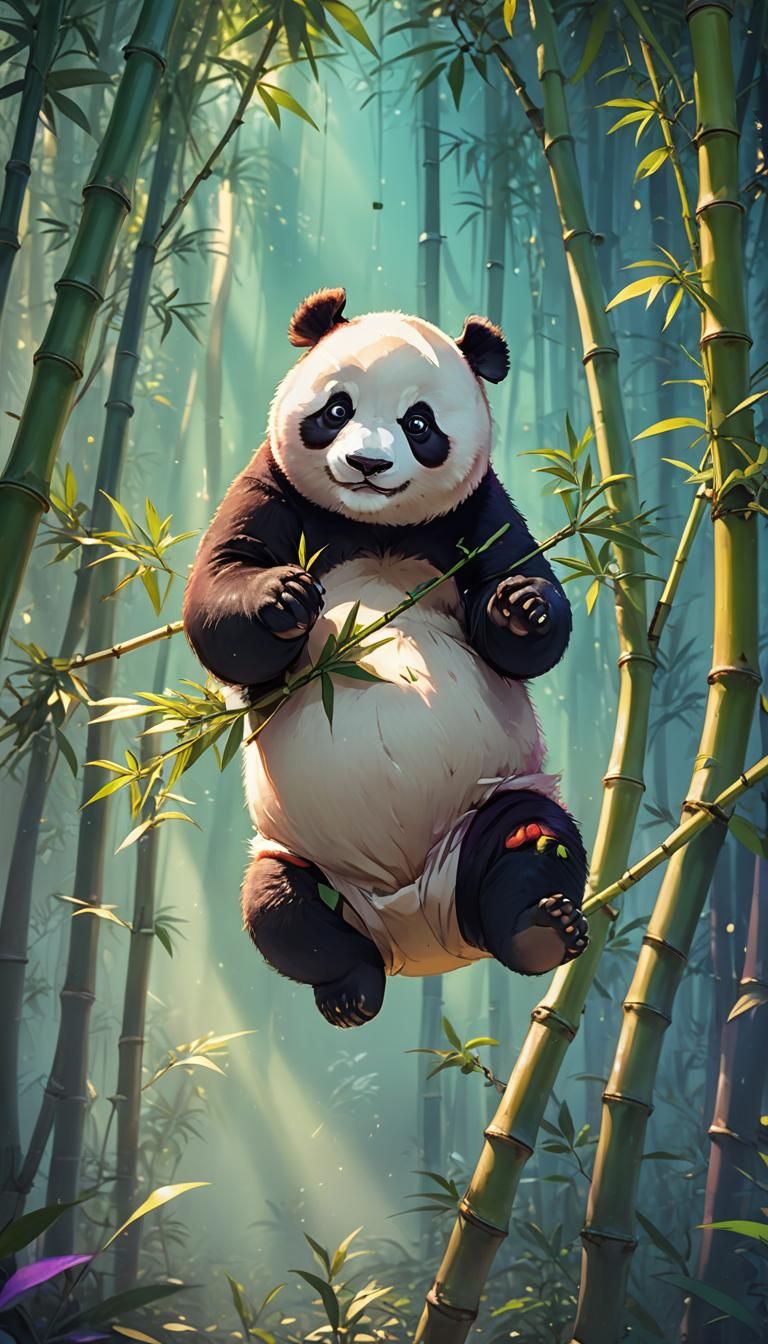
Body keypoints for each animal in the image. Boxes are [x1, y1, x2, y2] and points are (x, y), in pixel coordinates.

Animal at [183, 288, 589, 1028]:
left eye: (419, 423)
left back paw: (540, 929)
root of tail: (417, 936)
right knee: (279, 907)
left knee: (535, 842)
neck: (373, 525)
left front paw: (521, 606)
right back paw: (351, 988)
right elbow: (221, 595)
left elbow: (527, 606)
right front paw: (280, 597)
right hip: (303, 858)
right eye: (337, 410)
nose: (369, 466)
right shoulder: (270, 484)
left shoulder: (479, 505)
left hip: (489, 807)